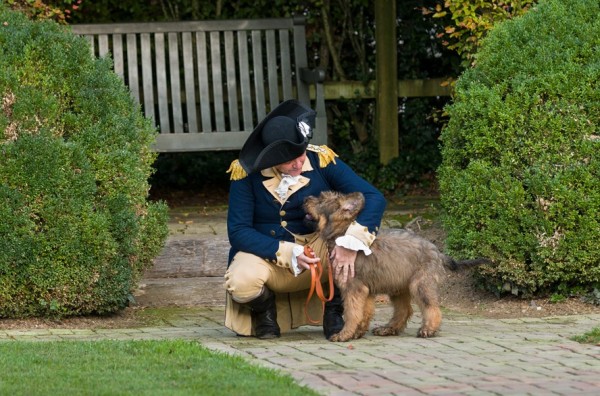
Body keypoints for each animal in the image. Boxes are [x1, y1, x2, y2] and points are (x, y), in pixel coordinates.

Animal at [302, 191, 490, 340]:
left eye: (321, 200)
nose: (305, 198)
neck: (343, 235)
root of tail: (437, 252)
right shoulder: (366, 291)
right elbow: (364, 313)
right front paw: (357, 332)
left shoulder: (354, 288)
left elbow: (352, 313)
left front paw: (345, 334)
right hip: (399, 287)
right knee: (404, 310)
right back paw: (388, 329)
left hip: (420, 284)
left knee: (432, 308)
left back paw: (428, 329)